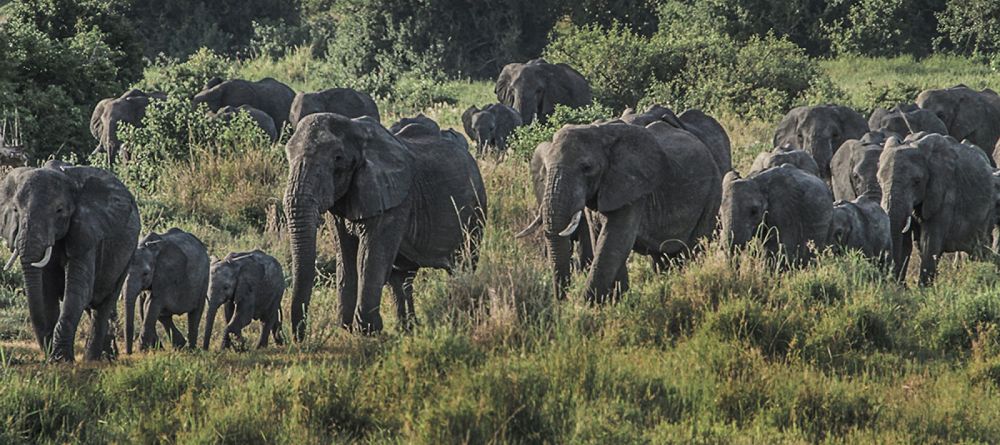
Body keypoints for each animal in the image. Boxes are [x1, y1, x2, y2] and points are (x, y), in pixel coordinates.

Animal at [0, 160, 140, 362]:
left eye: (59, 211)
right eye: (15, 210)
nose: (47, 352)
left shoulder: (87, 233)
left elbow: (77, 289)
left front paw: (61, 360)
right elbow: (46, 292)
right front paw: (54, 357)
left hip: (129, 252)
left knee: (103, 304)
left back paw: (93, 359)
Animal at [284, 113, 487, 337]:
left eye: (338, 158)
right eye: (287, 156)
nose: (299, 337)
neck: (355, 129)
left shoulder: (393, 199)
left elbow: (369, 257)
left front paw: (367, 331)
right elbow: (345, 255)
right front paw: (348, 329)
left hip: (475, 210)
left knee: (462, 265)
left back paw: (456, 315)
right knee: (401, 278)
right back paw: (408, 328)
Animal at [526, 120, 723, 303]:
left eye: (586, 168)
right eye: (545, 170)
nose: (562, 302)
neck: (600, 132)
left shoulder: (633, 188)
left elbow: (615, 241)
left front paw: (586, 307)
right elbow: (602, 240)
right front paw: (618, 301)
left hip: (712, 195)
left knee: (693, 248)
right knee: (662, 256)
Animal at [878, 132, 995, 285]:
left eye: (917, 182)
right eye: (879, 181)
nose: (889, 280)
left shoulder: (945, 193)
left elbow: (929, 242)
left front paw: (923, 288)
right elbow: (905, 242)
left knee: (980, 249)